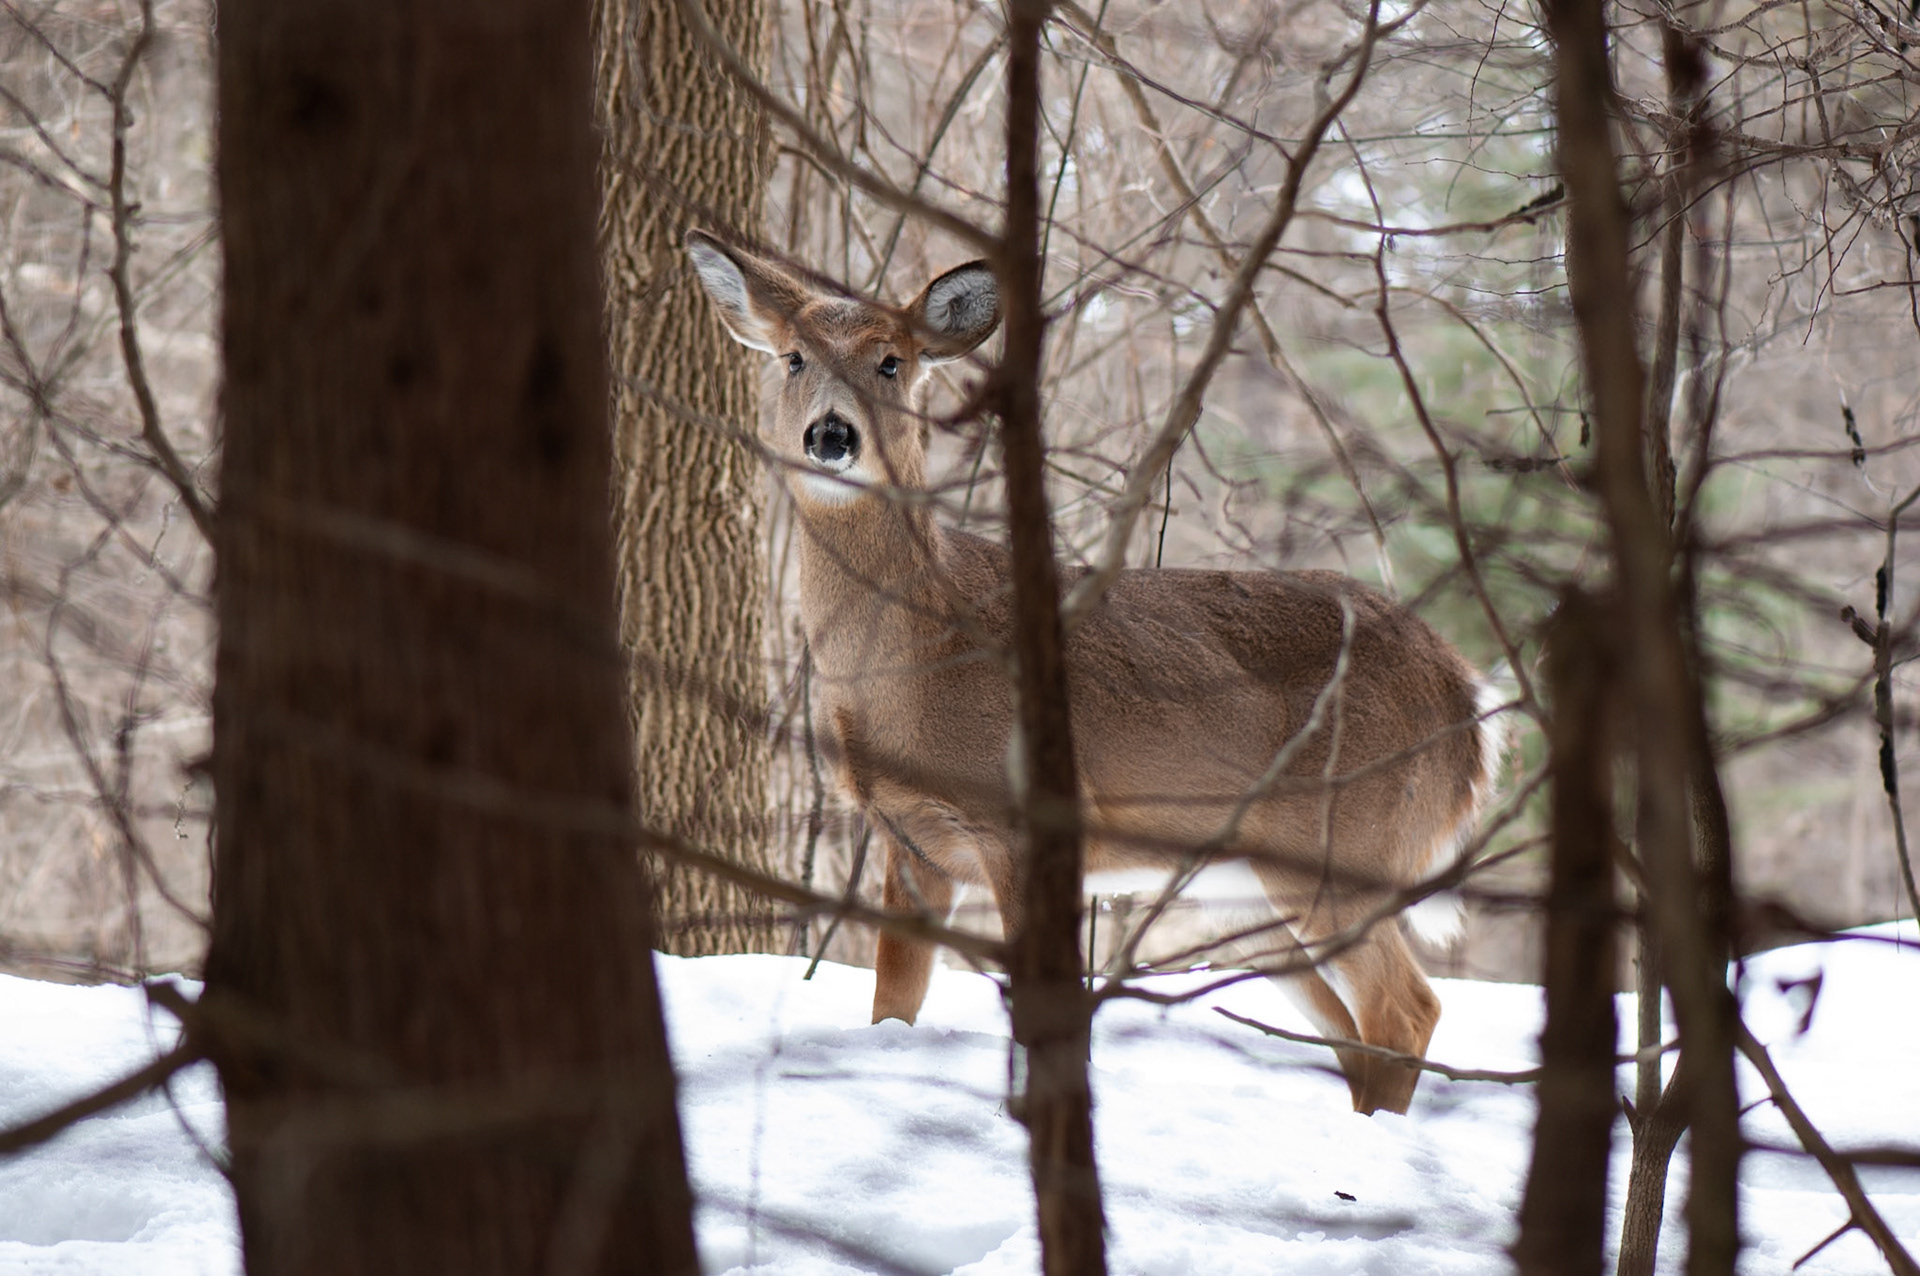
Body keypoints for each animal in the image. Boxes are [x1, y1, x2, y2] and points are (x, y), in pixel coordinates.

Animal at [685, 229, 1505, 1116]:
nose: (832, 436)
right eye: (794, 357)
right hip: (1247, 888)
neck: (913, 664)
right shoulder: (911, 843)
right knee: (1354, 1026)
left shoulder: (1024, 824)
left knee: (1408, 1006)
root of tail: (1467, 696)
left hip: (1347, 839)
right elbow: (891, 1005)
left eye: (892, 361)